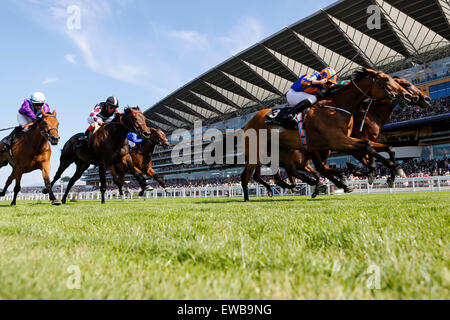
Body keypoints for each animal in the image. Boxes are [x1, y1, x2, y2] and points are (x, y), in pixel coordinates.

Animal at [243, 69, 412, 201]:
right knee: (249, 175)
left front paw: (391, 171)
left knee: (294, 172)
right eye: (385, 78)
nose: (407, 95)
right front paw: (391, 168)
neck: (337, 106)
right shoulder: (338, 141)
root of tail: (247, 124)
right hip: (258, 152)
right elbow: (368, 147)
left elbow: (384, 147)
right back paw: (247, 197)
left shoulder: (339, 142)